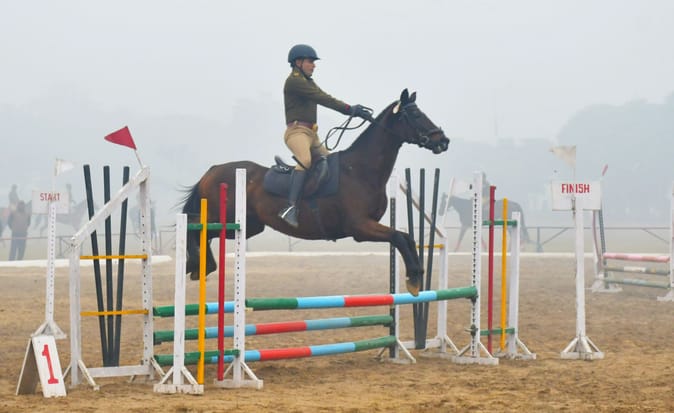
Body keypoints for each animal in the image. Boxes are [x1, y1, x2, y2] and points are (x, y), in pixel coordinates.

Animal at [180, 89, 449, 296]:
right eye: (415, 114)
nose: (443, 140)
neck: (360, 169)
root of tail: (213, 170)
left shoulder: (368, 225)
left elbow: (407, 237)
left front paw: (417, 274)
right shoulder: (360, 227)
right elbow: (398, 237)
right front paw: (413, 278)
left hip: (248, 226)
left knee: (204, 232)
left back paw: (200, 265)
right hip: (226, 219)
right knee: (193, 224)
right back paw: (196, 262)